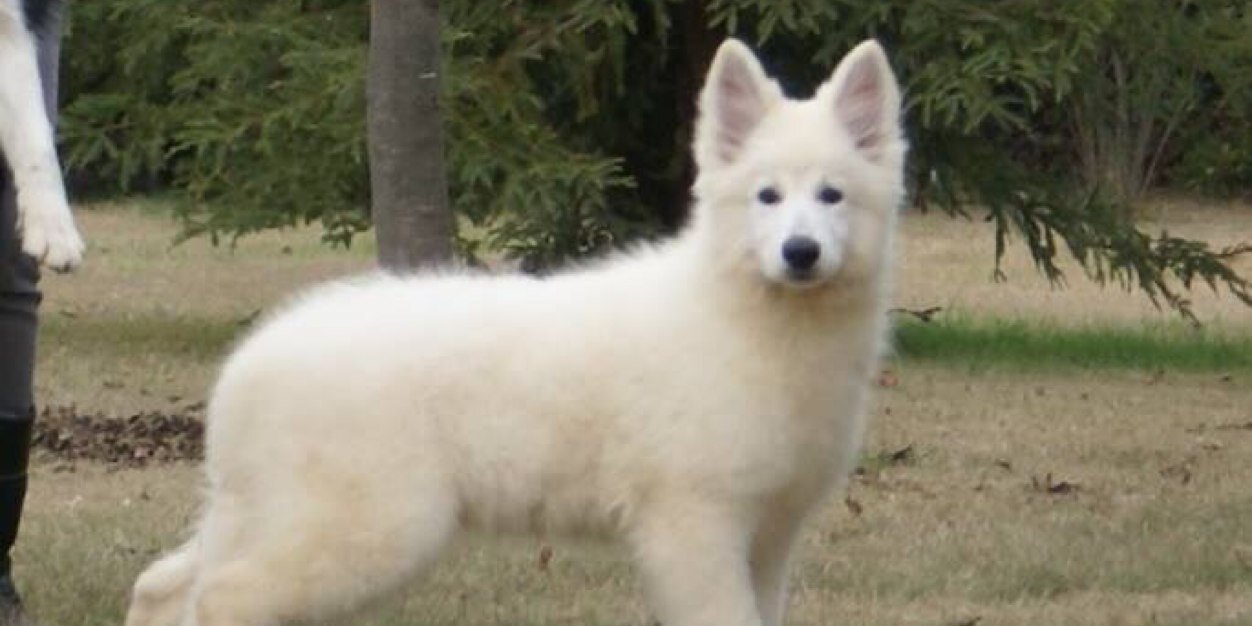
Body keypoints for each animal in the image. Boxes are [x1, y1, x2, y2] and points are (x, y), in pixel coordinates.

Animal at [123, 38, 906, 626]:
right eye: (766, 196)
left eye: (832, 195)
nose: (800, 253)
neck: (741, 312)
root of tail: (251, 361)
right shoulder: (695, 526)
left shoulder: (768, 536)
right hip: (370, 526)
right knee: (223, 597)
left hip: (262, 515)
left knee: (164, 588)